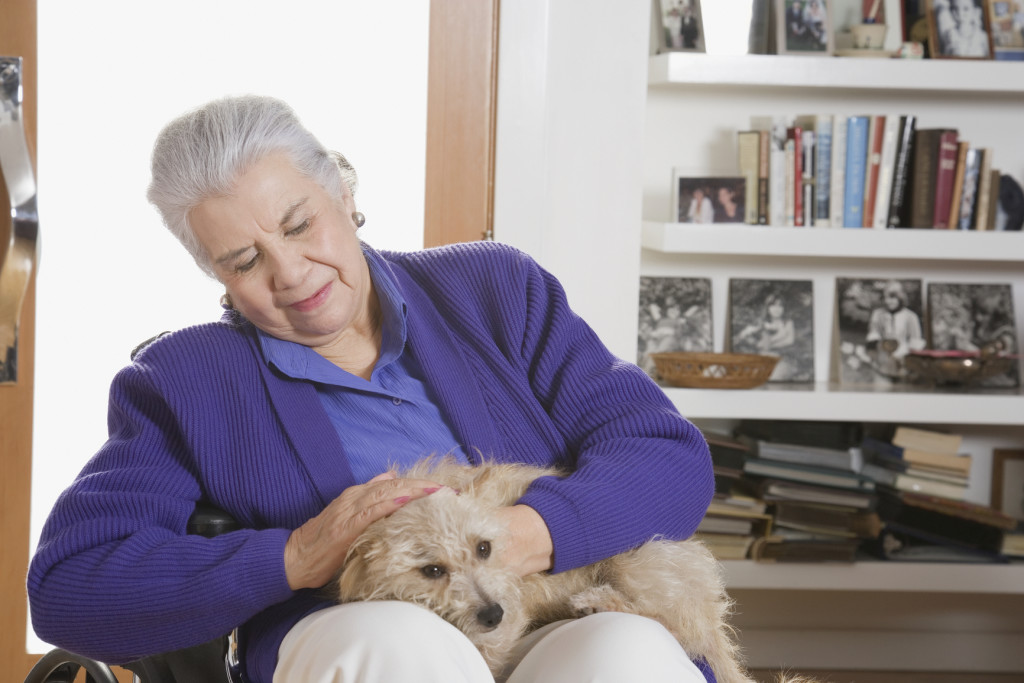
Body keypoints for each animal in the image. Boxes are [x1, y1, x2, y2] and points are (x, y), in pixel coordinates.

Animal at [335, 458, 806, 683]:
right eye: (432, 570)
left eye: (484, 548)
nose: (492, 614)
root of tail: (709, 607)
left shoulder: (510, 616)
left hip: (633, 558)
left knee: (676, 627)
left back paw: (599, 603)